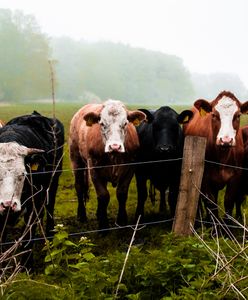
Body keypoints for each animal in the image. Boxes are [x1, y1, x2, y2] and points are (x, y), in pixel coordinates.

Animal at [0, 110, 65, 268]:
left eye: (23, 174)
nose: (8, 205)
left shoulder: (34, 201)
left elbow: (28, 233)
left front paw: (26, 265)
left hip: (53, 183)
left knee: (49, 209)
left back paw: (50, 238)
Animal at [69, 99, 146, 229]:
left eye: (125, 123)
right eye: (102, 124)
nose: (115, 146)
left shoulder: (130, 168)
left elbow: (121, 193)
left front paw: (121, 220)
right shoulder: (93, 169)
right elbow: (103, 195)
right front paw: (103, 225)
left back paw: (98, 213)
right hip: (76, 159)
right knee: (79, 186)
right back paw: (81, 215)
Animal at [183, 90, 248, 224]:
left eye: (238, 115)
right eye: (214, 115)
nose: (226, 140)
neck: (223, 156)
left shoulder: (236, 176)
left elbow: (229, 201)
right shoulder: (204, 177)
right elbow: (211, 203)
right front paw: (215, 227)